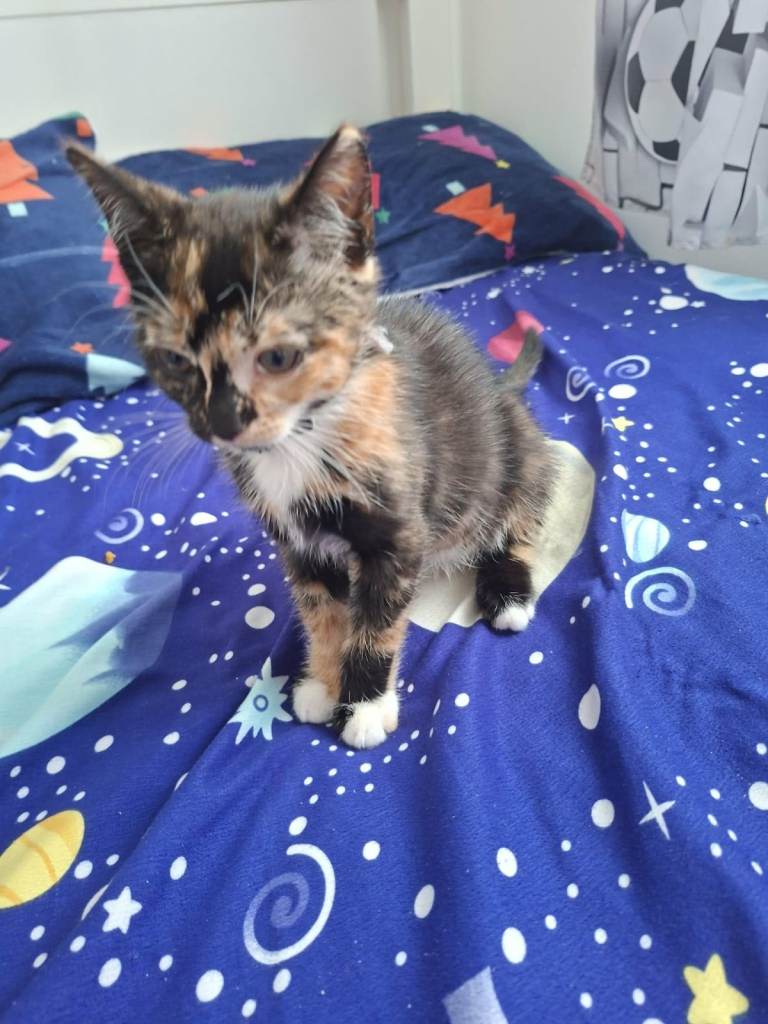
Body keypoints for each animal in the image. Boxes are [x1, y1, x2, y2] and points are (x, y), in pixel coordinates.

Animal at [67, 125, 555, 749]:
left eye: (277, 357)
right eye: (176, 359)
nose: (222, 421)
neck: (299, 441)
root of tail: (501, 388)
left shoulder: (398, 533)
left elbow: (376, 617)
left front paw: (364, 703)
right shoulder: (297, 541)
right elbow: (322, 608)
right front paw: (324, 682)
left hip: (518, 454)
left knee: (516, 522)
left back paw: (508, 593)